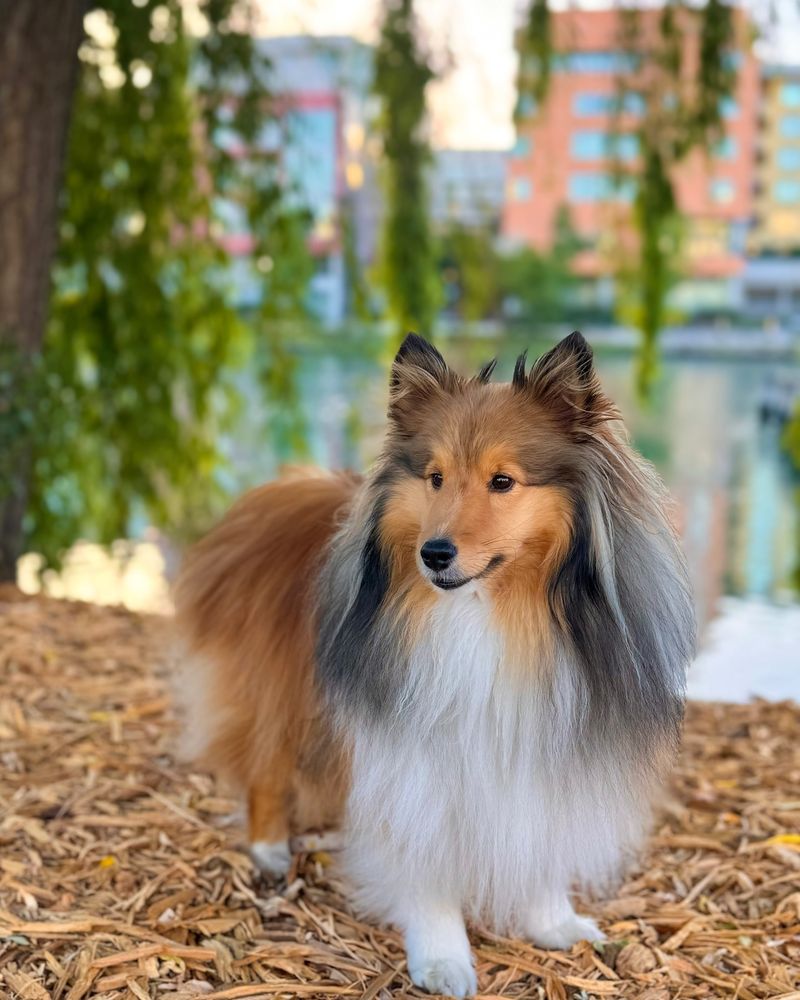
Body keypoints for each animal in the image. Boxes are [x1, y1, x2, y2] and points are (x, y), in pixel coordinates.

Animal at [175, 332, 692, 996]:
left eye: (503, 481)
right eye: (436, 478)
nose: (434, 553)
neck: (485, 614)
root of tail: (281, 494)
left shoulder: (548, 734)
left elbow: (540, 834)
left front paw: (552, 920)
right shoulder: (411, 752)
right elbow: (421, 859)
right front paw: (443, 957)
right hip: (277, 689)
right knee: (266, 764)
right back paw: (268, 849)